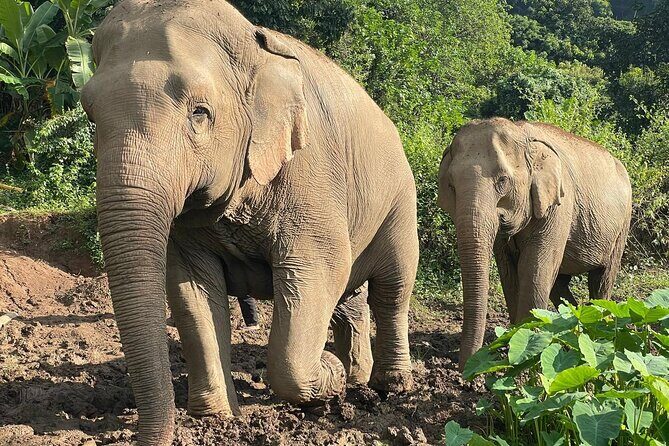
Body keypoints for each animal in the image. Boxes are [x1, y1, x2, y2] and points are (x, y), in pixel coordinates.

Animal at [80, 0, 419, 444]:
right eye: (90, 115)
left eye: (200, 113)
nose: (137, 435)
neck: (253, 44)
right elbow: (191, 289)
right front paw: (216, 419)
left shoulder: (311, 175)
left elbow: (319, 269)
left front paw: (329, 374)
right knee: (350, 299)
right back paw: (357, 375)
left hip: (400, 201)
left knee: (393, 289)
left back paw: (388, 387)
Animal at [437, 118, 632, 369]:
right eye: (451, 185)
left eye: (503, 181)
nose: (465, 373)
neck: (521, 132)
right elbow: (509, 272)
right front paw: (514, 337)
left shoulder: (559, 205)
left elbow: (534, 268)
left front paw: (528, 341)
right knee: (559, 283)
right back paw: (571, 319)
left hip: (622, 224)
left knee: (602, 278)